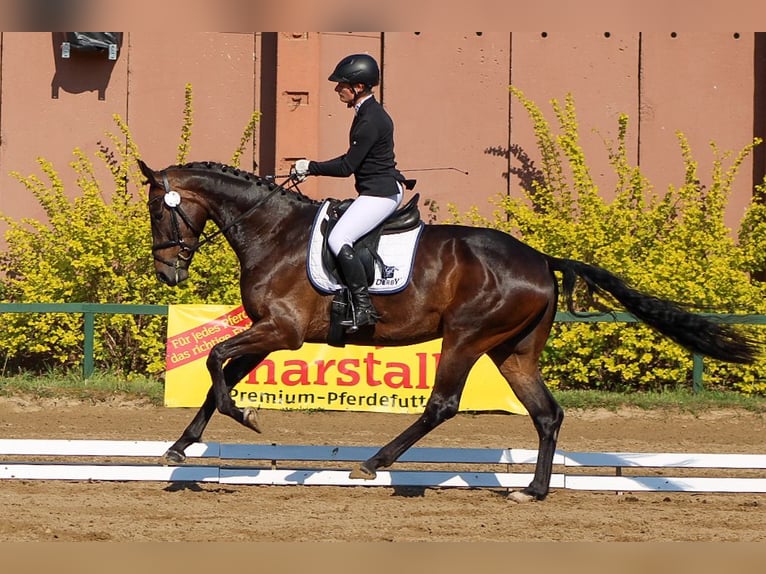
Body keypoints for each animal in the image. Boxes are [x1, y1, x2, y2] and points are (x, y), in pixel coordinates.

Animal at [141, 160, 760, 502]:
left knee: (442, 404)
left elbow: (214, 361)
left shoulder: (283, 330)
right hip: (512, 350)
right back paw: (533, 490)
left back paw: (374, 464)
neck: (274, 231)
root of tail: (541, 259)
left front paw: (243, 416)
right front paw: (180, 446)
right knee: (546, 413)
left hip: (467, 337)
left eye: (159, 210)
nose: (168, 272)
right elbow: (218, 373)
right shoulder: (269, 329)